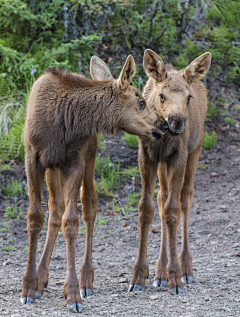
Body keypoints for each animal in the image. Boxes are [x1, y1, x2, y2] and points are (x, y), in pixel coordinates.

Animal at [20, 54, 167, 312]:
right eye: (140, 102)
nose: (164, 124)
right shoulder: (33, 158)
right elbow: (35, 218)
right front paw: (28, 286)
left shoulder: (75, 162)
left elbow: (71, 222)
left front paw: (72, 293)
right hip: (52, 169)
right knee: (55, 210)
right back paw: (41, 278)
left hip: (88, 156)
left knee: (88, 205)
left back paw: (86, 279)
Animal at [128, 49, 211, 294]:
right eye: (162, 96)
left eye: (188, 97)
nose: (177, 122)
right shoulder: (147, 156)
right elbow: (146, 209)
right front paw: (139, 275)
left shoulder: (179, 155)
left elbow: (173, 210)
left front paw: (174, 275)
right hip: (163, 165)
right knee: (162, 196)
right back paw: (159, 271)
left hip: (195, 149)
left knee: (185, 197)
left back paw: (185, 268)